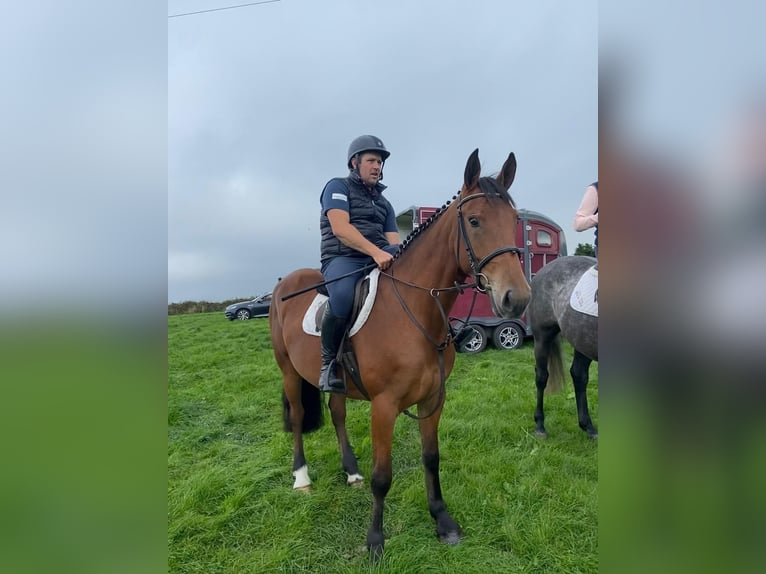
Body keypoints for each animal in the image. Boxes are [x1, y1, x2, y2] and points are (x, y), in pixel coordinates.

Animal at [272, 147, 536, 560]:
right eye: (474, 221)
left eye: (512, 222)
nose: (517, 298)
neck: (414, 311)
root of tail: (286, 281)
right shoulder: (384, 406)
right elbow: (383, 477)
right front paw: (375, 541)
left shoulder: (433, 399)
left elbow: (432, 458)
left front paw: (443, 521)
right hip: (288, 370)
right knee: (299, 416)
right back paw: (301, 477)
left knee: (337, 412)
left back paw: (351, 471)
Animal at [528, 256, 600, 440]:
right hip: (542, 337)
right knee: (541, 377)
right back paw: (540, 426)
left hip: (582, 339)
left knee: (579, 375)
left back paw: (588, 427)